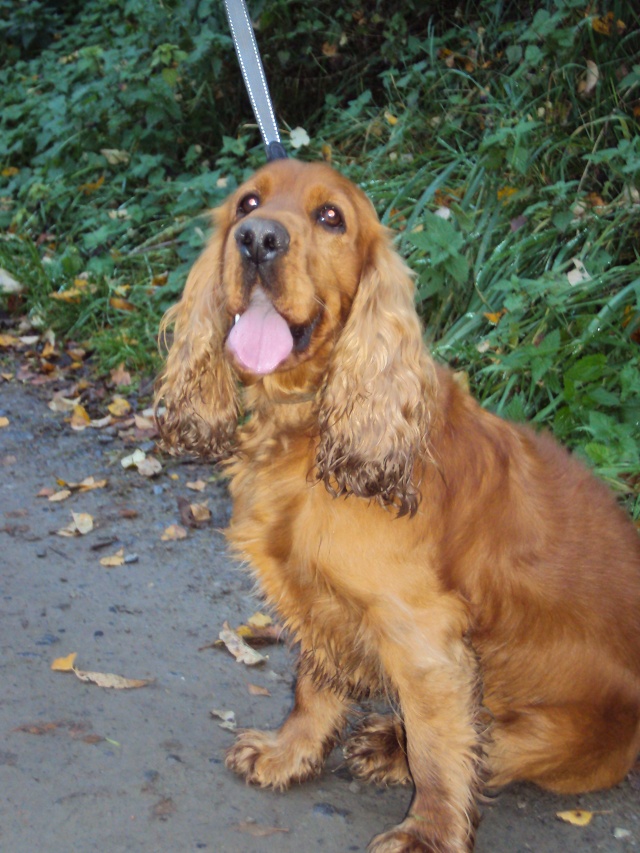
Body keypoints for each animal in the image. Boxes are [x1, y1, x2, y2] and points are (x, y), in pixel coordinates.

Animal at [158, 160, 640, 852]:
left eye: (331, 217)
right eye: (247, 203)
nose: (257, 240)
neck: (308, 428)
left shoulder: (422, 631)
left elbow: (440, 749)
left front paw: (428, 832)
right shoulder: (319, 598)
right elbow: (312, 686)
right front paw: (290, 754)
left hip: (561, 732)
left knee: (487, 747)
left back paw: (394, 750)